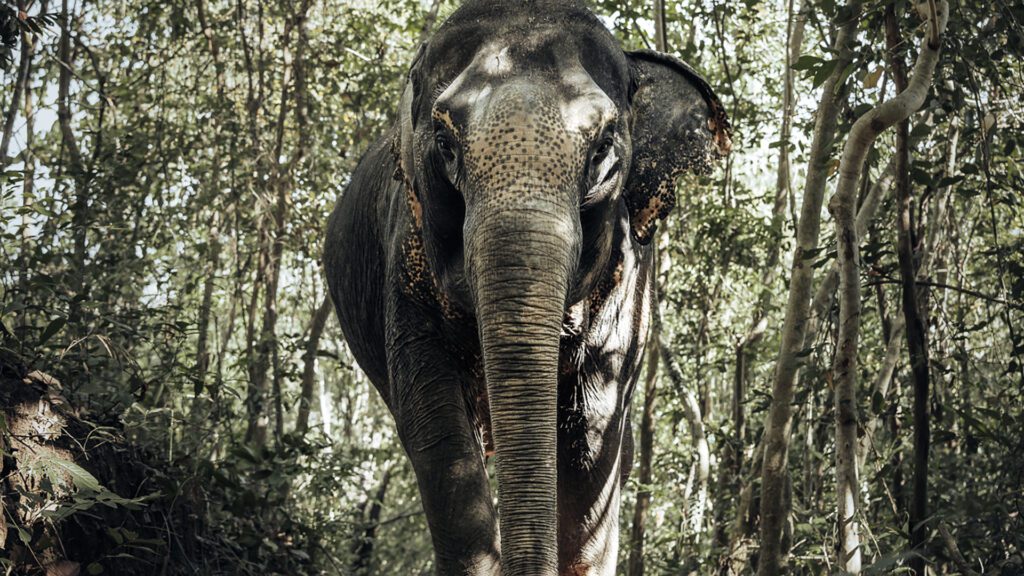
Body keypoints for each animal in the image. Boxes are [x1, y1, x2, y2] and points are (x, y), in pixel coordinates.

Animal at [323, 2, 733, 569]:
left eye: (603, 148)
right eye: (445, 144)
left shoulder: (626, 283)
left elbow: (591, 441)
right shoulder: (403, 266)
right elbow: (440, 438)